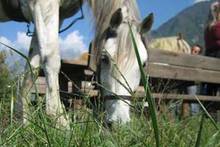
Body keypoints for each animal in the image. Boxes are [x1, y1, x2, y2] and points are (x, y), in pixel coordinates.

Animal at [0, 0, 153, 126]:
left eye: (143, 64)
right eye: (104, 58)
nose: (118, 122)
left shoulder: (56, 16)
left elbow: (31, 69)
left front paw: (22, 124)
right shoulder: (43, 5)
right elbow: (51, 59)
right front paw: (59, 121)